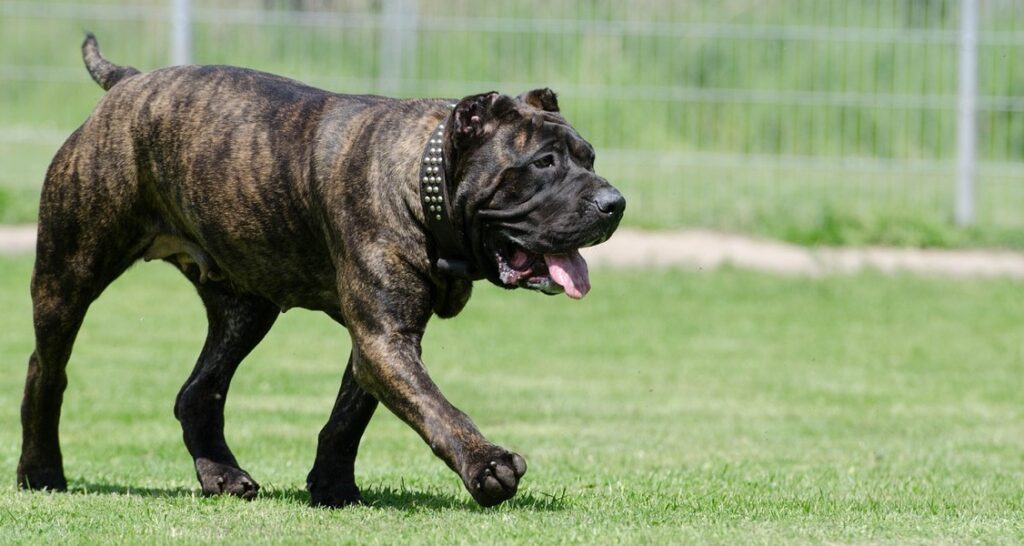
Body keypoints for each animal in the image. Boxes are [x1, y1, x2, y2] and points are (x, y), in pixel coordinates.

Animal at [16, 35, 622, 506]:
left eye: (589, 157)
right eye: (543, 163)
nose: (613, 203)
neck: (423, 185)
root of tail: (128, 82)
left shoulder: (379, 339)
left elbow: (350, 416)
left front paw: (332, 486)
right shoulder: (384, 337)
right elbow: (434, 406)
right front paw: (486, 464)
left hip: (245, 308)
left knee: (199, 391)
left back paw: (222, 475)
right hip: (68, 275)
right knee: (46, 370)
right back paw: (40, 471)